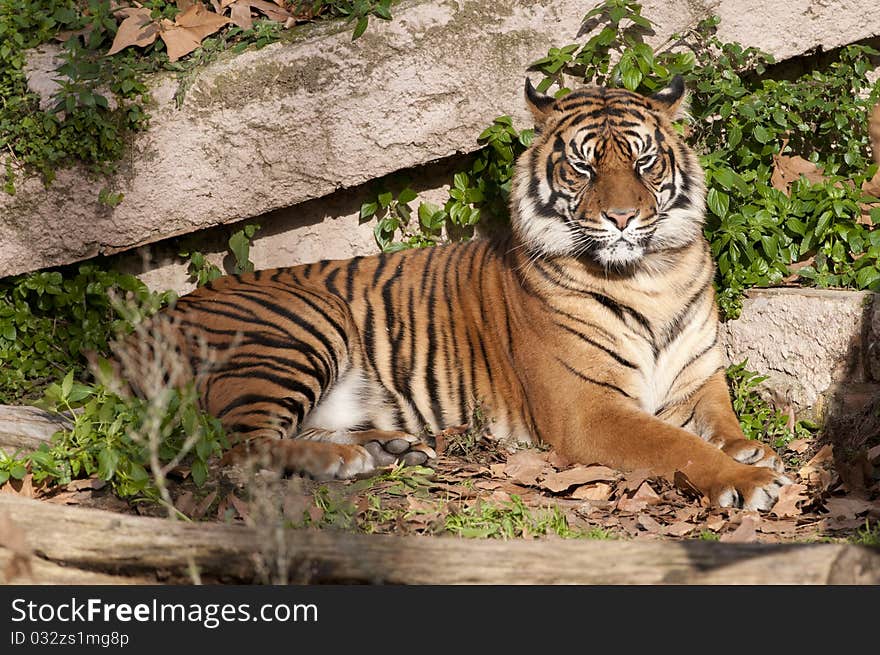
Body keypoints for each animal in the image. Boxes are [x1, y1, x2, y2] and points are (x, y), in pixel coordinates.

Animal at [110, 78, 792, 512]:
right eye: (583, 166)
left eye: (645, 162)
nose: (623, 218)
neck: (651, 275)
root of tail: (135, 333)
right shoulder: (588, 410)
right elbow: (678, 445)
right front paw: (746, 477)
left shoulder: (698, 375)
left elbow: (718, 418)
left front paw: (749, 447)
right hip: (295, 331)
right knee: (234, 448)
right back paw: (345, 462)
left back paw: (385, 447)